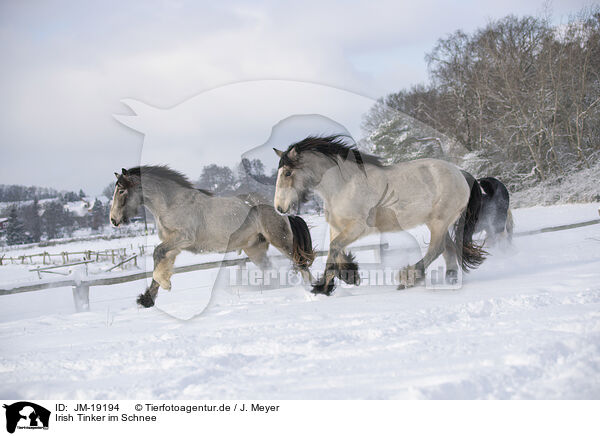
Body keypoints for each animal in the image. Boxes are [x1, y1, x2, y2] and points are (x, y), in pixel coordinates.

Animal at [109, 164, 314, 306]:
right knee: (271, 269)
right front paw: (147, 300)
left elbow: (157, 254)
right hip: (255, 249)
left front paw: (165, 285)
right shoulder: (173, 246)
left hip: (280, 240)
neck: (171, 203)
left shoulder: (182, 238)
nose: (113, 220)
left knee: (300, 263)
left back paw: (313, 289)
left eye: (121, 191)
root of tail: (280, 210)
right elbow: (160, 262)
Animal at [274, 135, 488, 294]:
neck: (342, 185)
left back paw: (408, 278)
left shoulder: (358, 227)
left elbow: (334, 248)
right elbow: (336, 250)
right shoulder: (338, 226)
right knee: (448, 249)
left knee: (437, 249)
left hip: (439, 221)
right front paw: (349, 275)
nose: (279, 208)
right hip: (437, 222)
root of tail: (461, 173)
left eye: (287, 173)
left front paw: (322, 288)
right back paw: (449, 281)